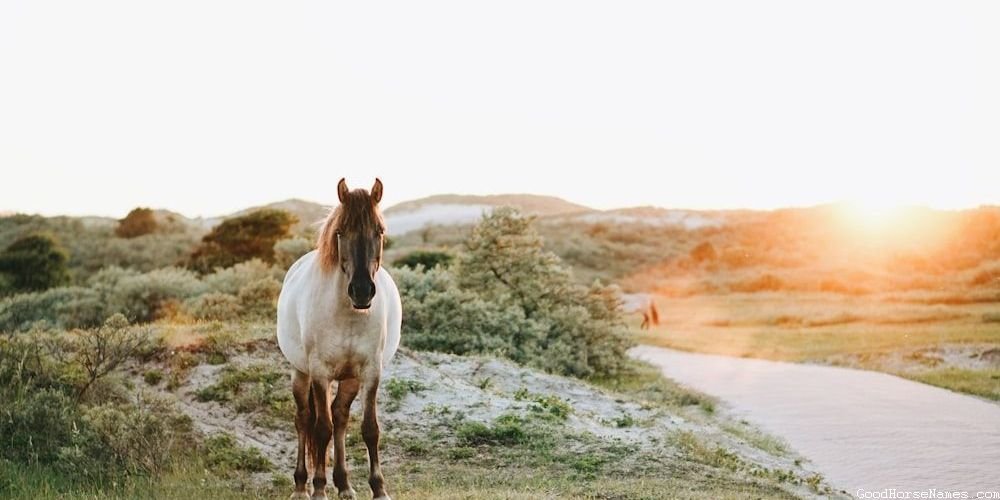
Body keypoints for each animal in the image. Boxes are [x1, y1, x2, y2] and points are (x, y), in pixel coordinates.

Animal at [276, 178, 400, 498]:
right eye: (341, 232)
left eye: (379, 231)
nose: (362, 291)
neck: (348, 314)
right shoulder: (320, 372)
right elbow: (322, 429)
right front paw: (319, 488)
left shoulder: (370, 372)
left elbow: (369, 429)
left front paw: (379, 488)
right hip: (301, 372)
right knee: (304, 419)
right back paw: (301, 485)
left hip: (350, 378)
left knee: (341, 416)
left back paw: (344, 484)